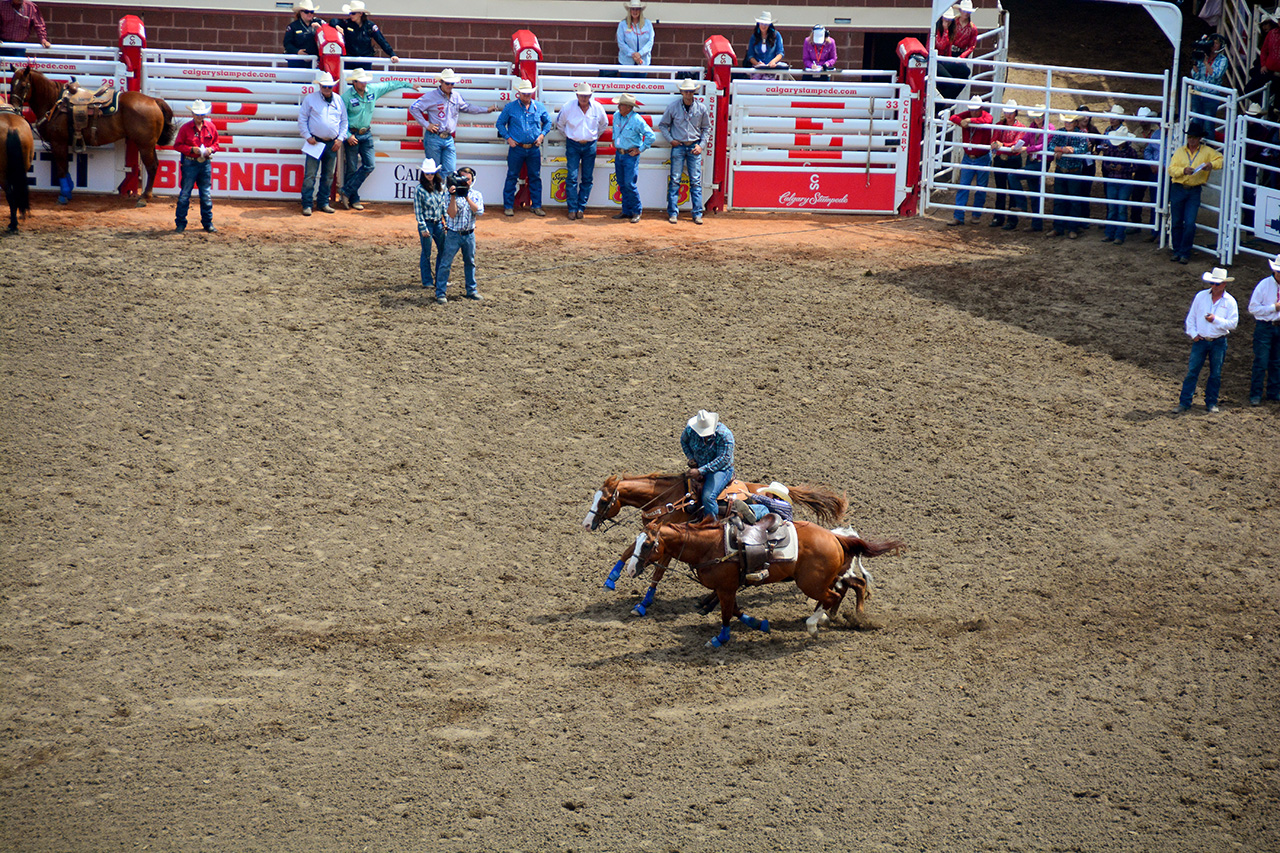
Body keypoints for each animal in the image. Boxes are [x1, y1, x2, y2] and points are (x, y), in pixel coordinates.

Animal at [8, 65, 175, 204]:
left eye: (23, 85)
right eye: (11, 84)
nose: (14, 108)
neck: (54, 104)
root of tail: (153, 100)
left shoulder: (58, 142)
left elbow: (61, 167)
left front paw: (63, 195)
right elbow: (64, 167)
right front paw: (69, 190)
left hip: (145, 145)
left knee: (151, 166)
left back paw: (144, 197)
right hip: (149, 144)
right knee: (155, 165)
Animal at [634, 514, 906, 648]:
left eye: (647, 544)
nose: (633, 567)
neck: (710, 546)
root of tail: (836, 537)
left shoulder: (725, 588)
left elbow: (727, 614)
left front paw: (720, 639)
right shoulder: (728, 588)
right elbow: (736, 611)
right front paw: (759, 624)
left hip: (811, 582)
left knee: (835, 595)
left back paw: (816, 624)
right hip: (823, 580)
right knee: (841, 593)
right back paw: (833, 618)